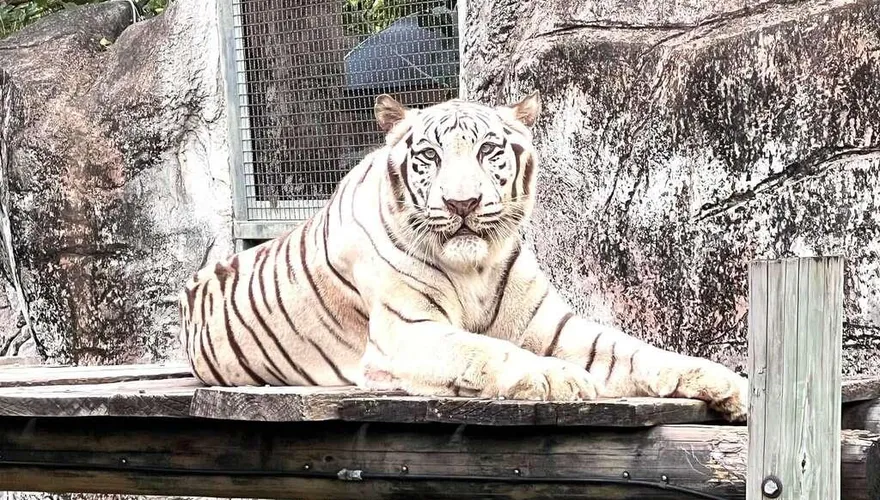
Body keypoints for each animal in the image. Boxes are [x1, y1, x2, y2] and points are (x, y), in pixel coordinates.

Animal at [178, 92, 748, 421]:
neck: (474, 266)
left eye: (487, 151)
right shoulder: (406, 332)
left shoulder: (553, 326)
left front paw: (728, 383)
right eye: (429, 156)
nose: (462, 203)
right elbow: (485, 350)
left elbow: (634, 350)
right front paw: (558, 378)